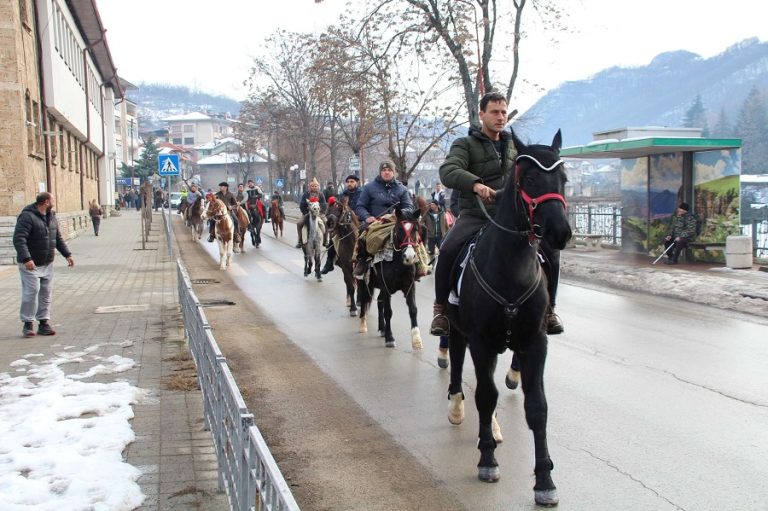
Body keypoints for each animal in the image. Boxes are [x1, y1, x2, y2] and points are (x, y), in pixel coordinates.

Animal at [360, 206, 426, 350]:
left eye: (415, 229)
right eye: (399, 229)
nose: (409, 256)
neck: (397, 264)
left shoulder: (410, 286)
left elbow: (413, 310)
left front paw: (417, 340)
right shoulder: (386, 287)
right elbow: (388, 312)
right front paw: (390, 338)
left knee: (379, 302)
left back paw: (382, 328)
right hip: (365, 282)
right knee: (364, 300)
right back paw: (363, 324)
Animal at [444, 131, 568, 508]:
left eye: (563, 179)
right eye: (530, 179)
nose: (560, 232)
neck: (511, 268)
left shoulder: (534, 342)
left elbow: (537, 407)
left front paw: (545, 480)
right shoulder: (481, 340)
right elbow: (485, 395)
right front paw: (487, 460)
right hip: (460, 331)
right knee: (457, 361)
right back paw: (457, 407)